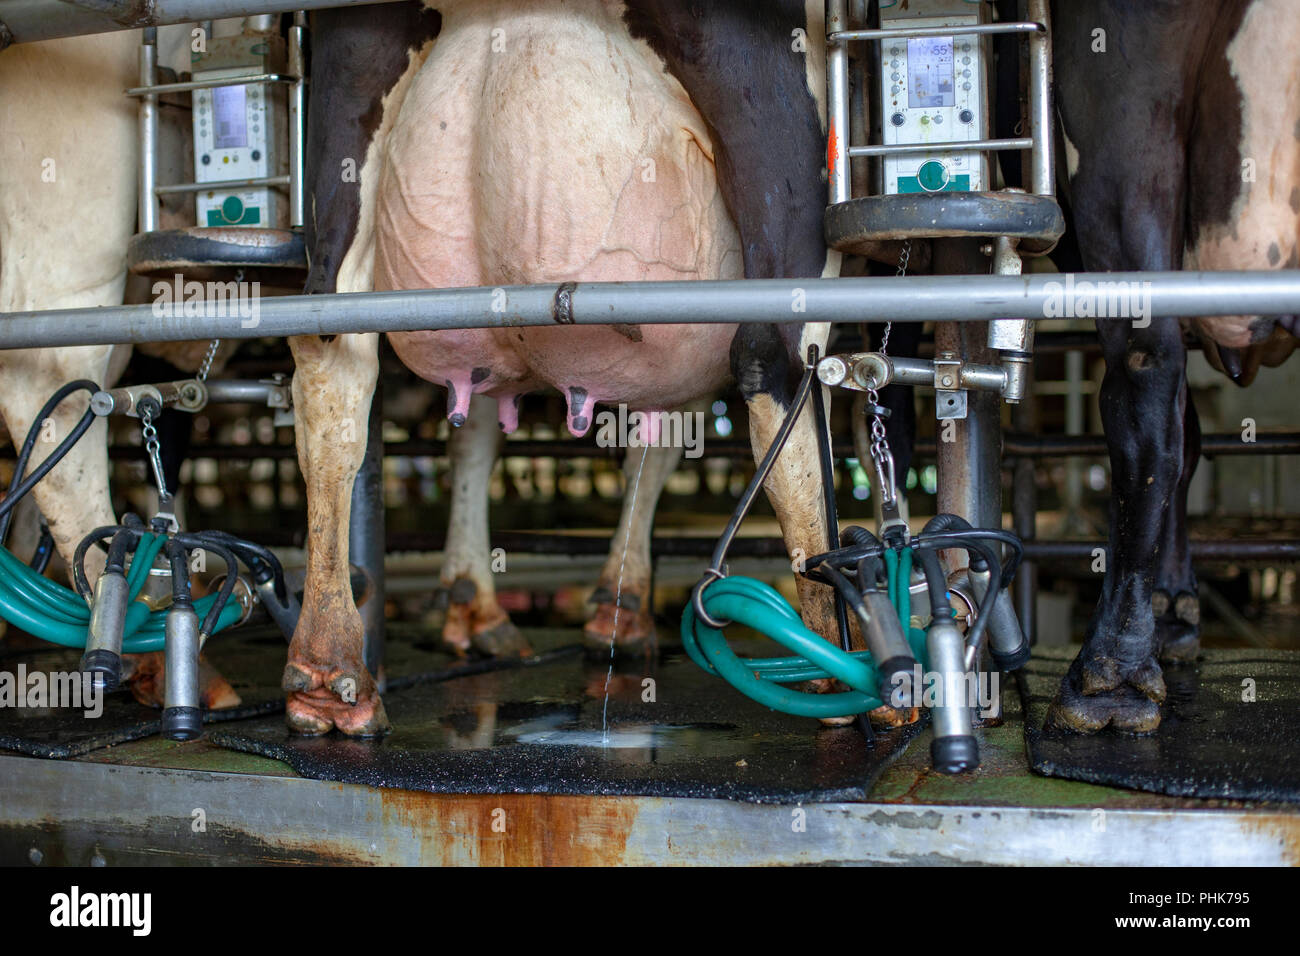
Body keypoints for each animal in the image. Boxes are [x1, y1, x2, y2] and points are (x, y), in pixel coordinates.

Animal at [286, 0, 847, 738]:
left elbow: (643, 441)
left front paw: (611, 607)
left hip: (349, 97)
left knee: (331, 362)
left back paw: (329, 670)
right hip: (774, 117)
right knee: (774, 364)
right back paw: (839, 667)